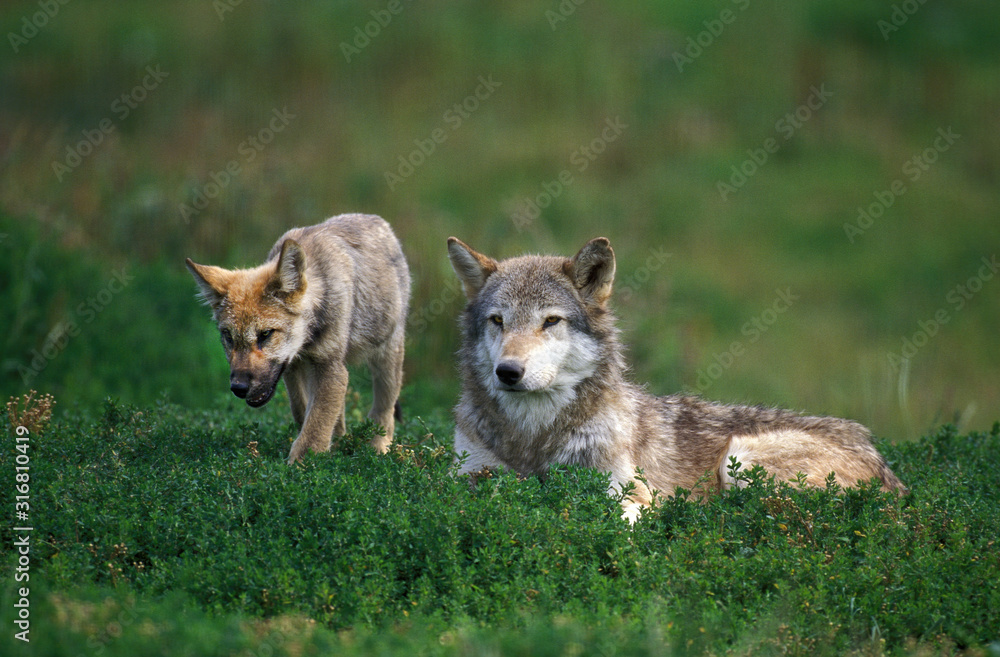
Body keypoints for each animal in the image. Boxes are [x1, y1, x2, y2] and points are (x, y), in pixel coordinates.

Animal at [186, 214, 410, 463]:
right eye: (228, 337)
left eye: (265, 334)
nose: (238, 387)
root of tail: (379, 221)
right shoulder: (295, 367)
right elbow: (304, 412)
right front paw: (328, 449)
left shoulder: (330, 366)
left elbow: (316, 425)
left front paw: (302, 464)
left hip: (386, 358)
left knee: (384, 410)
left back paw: (378, 448)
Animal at [447, 236, 904, 522]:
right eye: (498, 321)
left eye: (550, 321)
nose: (508, 372)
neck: (533, 438)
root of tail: (890, 473)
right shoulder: (464, 476)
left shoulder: (631, 493)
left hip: (742, 458)